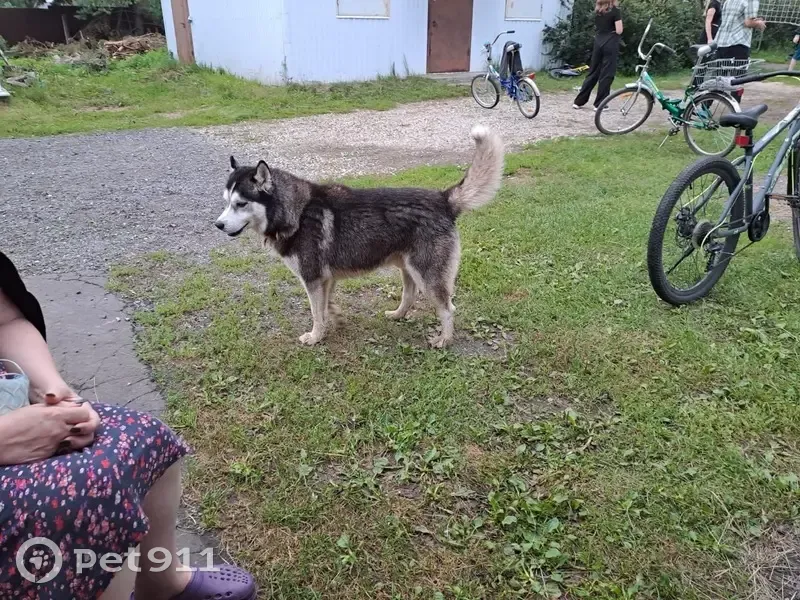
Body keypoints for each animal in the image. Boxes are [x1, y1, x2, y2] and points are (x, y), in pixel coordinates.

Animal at [214, 125, 504, 348]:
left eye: (241, 204)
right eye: (227, 202)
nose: (218, 224)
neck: (296, 211)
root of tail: (443, 199)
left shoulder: (312, 279)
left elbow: (316, 313)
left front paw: (315, 337)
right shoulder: (325, 280)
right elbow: (325, 308)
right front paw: (334, 320)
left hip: (427, 275)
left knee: (447, 309)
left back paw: (444, 340)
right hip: (408, 268)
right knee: (409, 296)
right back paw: (398, 315)